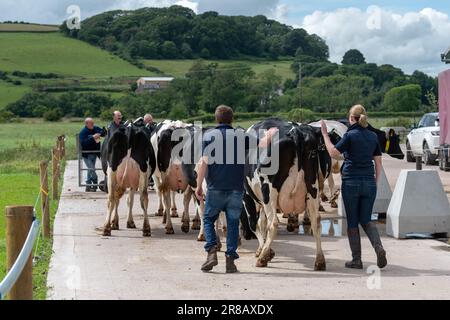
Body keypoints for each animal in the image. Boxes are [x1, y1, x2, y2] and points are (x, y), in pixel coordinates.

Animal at [241, 118, 332, 270]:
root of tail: (296, 132)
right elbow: (261, 222)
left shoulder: (246, 196)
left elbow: (255, 223)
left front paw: (264, 251)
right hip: (312, 188)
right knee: (316, 222)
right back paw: (320, 261)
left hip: (269, 191)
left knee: (273, 223)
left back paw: (262, 258)